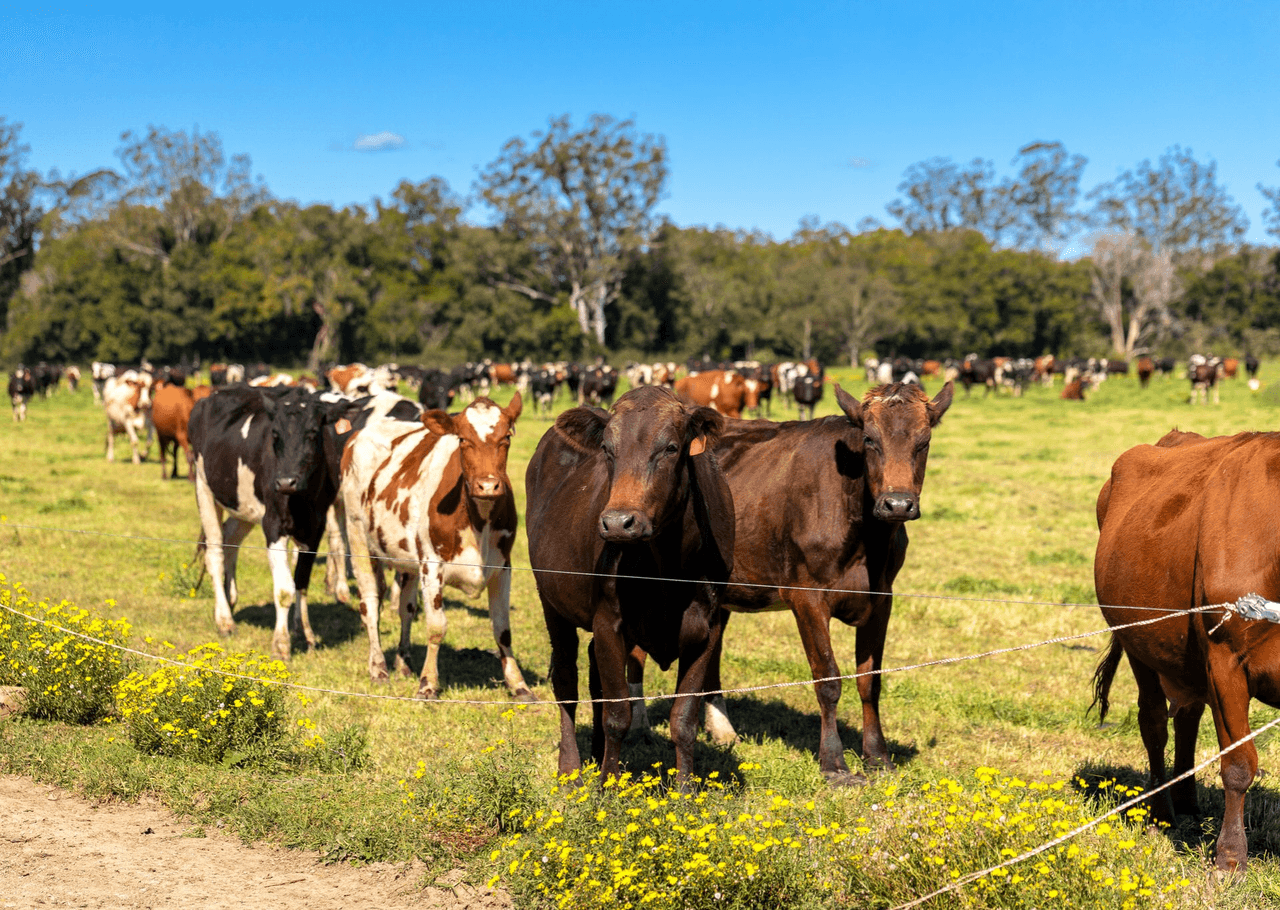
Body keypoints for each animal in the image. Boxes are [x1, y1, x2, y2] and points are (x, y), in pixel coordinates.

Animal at [185, 381, 358, 655]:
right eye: (275, 435)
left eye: (312, 433)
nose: (286, 481)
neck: (302, 499)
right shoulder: (274, 524)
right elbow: (285, 588)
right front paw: (281, 643)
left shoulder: (315, 526)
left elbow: (301, 581)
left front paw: (305, 633)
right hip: (204, 488)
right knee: (214, 552)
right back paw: (224, 620)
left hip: (243, 504)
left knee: (230, 539)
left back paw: (231, 598)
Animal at [337, 394, 532, 701]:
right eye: (463, 439)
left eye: (507, 437)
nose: (488, 485)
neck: (478, 521)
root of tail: (359, 433)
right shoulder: (431, 566)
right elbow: (436, 626)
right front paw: (428, 684)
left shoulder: (503, 566)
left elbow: (502, 629)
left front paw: (519, 684)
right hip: (357, 537)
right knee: (369, 604)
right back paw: (379, 669)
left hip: (405, 559)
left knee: (405, 608)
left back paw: (403, 663)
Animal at [524, 386, 737, 783]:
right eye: (608, 449)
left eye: (671, 447)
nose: (618, 523)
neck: (669, 569)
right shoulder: (609, 621)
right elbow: (618, 715)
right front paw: (608, 786)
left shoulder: (708, 627)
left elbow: (683, 719)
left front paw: (685, 790)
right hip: (551, 602)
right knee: (566, 680)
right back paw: (571, 767)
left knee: (593, 675)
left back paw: (595, 755)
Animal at [1090, 430, 1280, 870]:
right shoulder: (1225, 660)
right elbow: (1238, 765)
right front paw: (1230, 860)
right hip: (1138, 644)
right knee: (1154, 723)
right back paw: (1162, 813)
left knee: (1188, 718)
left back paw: (1189, 801)